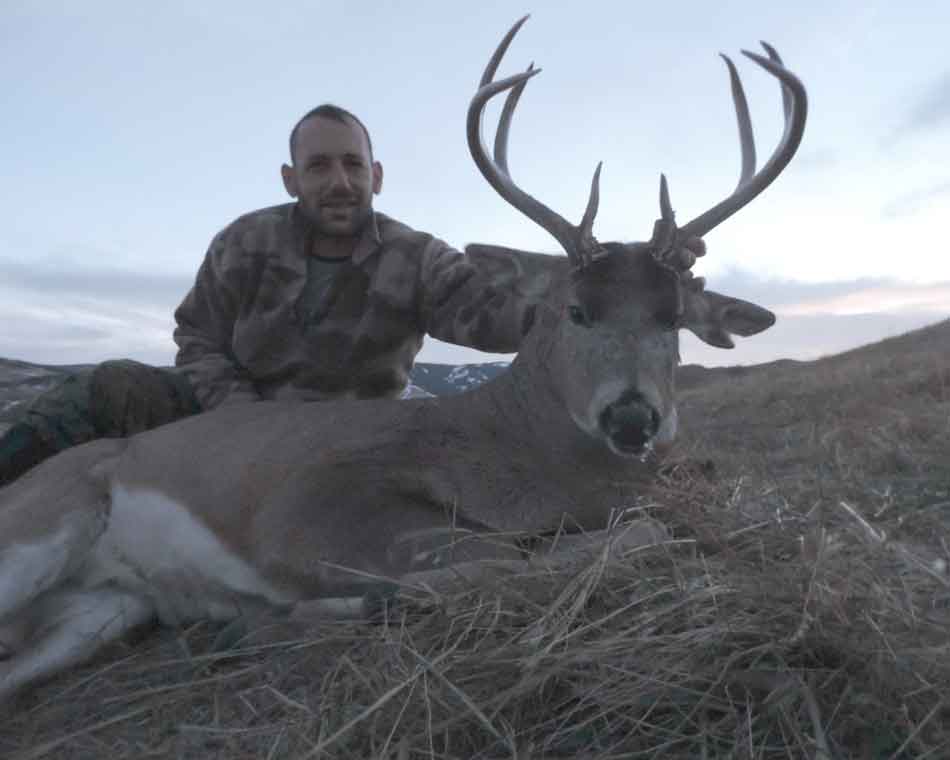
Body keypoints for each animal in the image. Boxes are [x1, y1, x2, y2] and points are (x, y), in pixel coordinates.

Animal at [0, 16, 806, 701]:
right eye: (574, 309)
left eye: (675, 317)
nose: (634, 418)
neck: (514, 454)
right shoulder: (315, 506)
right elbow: (534, 552)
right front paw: (305, 613)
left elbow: (626, 532)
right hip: (43, 520)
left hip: (101, 612)